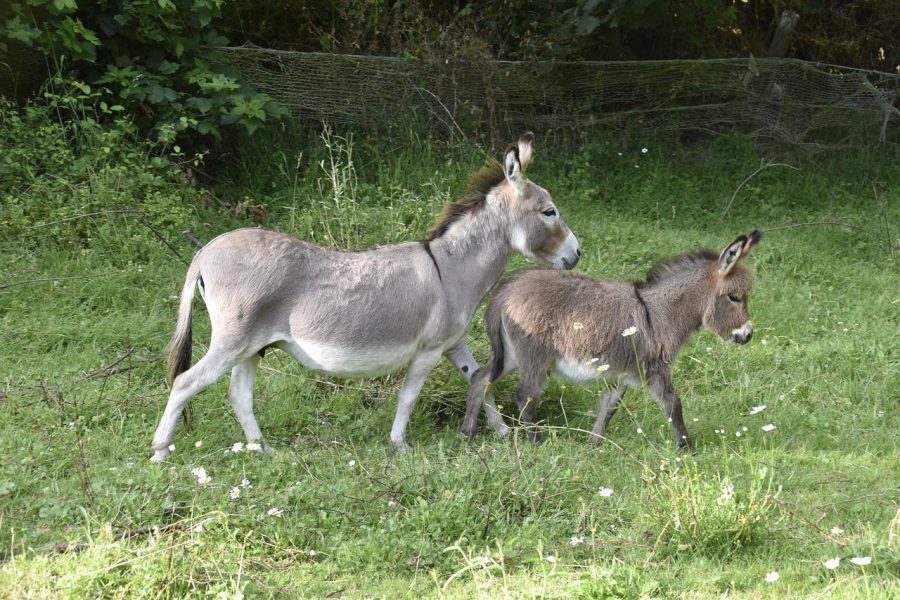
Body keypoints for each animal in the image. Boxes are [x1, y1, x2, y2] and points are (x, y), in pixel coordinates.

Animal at [460, 232, 764, 448]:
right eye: (734, 297)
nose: (748, 335)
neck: (658, 313)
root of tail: (507, 289)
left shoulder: (621, 375)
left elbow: (608, 409)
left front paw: (593, 445)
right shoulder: (655, 369)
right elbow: (673, 404)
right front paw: (687, 447)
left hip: (511, 355)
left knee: (480, 378)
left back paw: (468, 434)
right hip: (534, 358)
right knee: (525, 397)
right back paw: (535, 441)